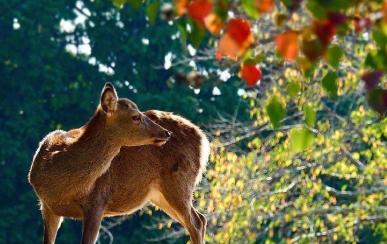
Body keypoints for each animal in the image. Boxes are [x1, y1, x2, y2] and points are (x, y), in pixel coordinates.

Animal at [28, 83, 211, 244]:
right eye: (136, 116)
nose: (166, 133)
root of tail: (203, 139)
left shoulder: (97, 202)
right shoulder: (47, 207)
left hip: (179, 182)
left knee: (196, 222)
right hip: (160, 194)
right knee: (200, 219)